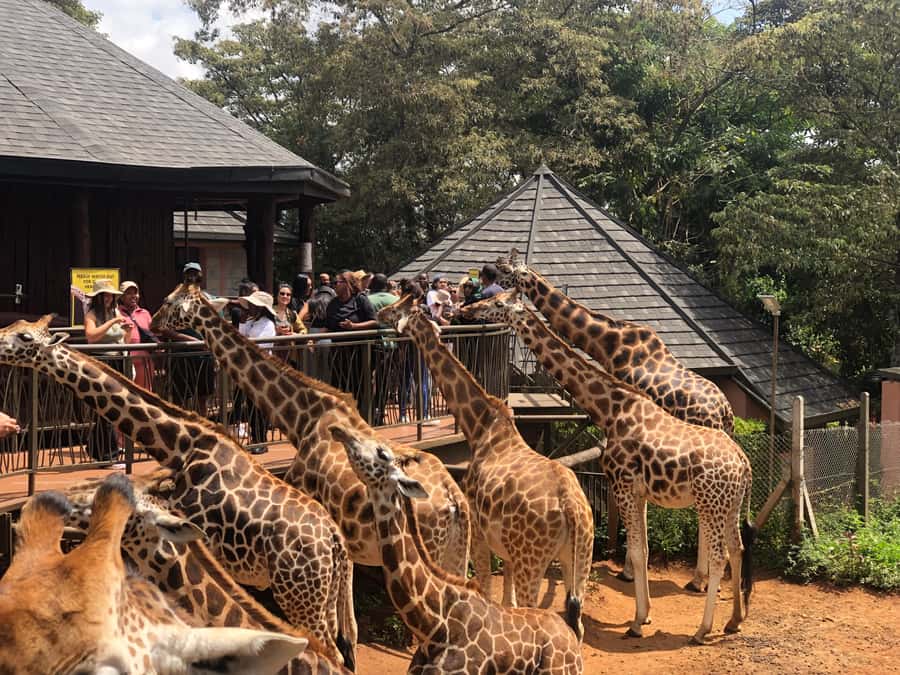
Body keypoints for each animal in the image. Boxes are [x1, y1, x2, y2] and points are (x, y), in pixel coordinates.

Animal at [377, 295, 593, 639]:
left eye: (398, 307)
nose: (379, 313)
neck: (480, 426)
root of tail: (572, 509)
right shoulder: (506, 548)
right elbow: (506, 598)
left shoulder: (478, 533)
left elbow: (487, 590)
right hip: (580, 557)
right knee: (577, 624)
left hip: (533, 560)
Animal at [459, 291, 755, 644]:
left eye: (499, 303)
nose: (468, 310)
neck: (611, 410)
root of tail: (743, 464)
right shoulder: (638, 492)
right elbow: (643, 549)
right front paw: (645, 614)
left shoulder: (622, 484)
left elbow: (638, 551)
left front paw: (638, 621)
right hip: (730, 505)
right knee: (737, 548)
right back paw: (735, 620)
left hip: (710, 503)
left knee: (720, 554)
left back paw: (702, 628)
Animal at [495, 250, 735, 589]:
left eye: (504, 270)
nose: (484, 274)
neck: (607, 341)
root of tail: (725, 412)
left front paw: (627, 569)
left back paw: (698, 579)